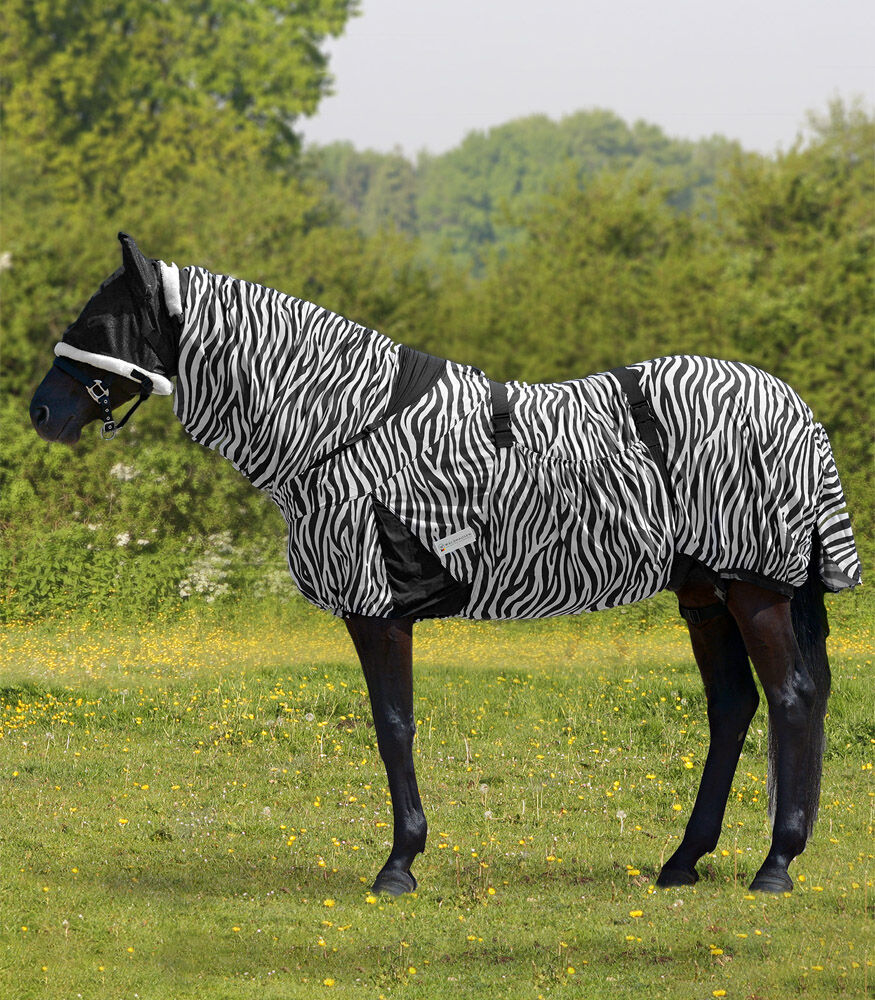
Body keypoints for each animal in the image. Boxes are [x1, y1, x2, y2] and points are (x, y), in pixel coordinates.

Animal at [31, 233, 861, 896]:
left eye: (99, 323)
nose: (41, 411)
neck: (340, 428)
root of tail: (795, 410)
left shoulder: (376, 608)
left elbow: (393, 724)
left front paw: (399, 864)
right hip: (704, 592)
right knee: (733, 706)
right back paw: (683, 861)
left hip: (753, 589)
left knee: (790, 698)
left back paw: (775, 866)